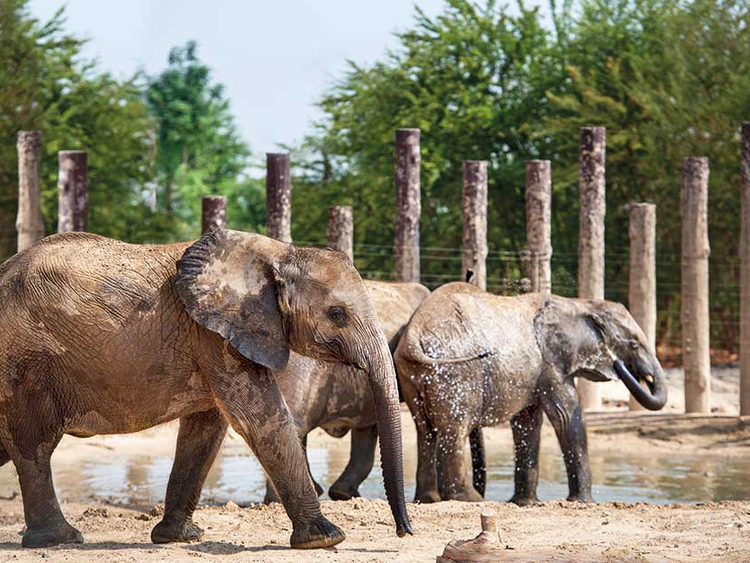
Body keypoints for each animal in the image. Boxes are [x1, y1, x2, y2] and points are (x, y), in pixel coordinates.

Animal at [0, 230, 412, 552]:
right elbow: (260, 420)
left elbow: (207, 429)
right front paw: (326, 538)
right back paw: (60, 539)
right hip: (26, 365)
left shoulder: (216, 336)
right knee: (35, 447)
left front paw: (182, 537)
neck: (280, 253)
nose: (404, 532)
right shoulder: (215, 335)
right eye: (337, 314)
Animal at [396, 282, 668, 506]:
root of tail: (413, 336)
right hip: (455, 372)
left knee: (425, 431)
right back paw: (471, 500)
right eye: (634, 344)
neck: (579, 303)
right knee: (455, 429)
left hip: (414, 374)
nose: (620, 365)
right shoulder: (552, 364)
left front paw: (525, 503)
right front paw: (583, 502)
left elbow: (529, 423)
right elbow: (565, 417)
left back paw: (428, 499)